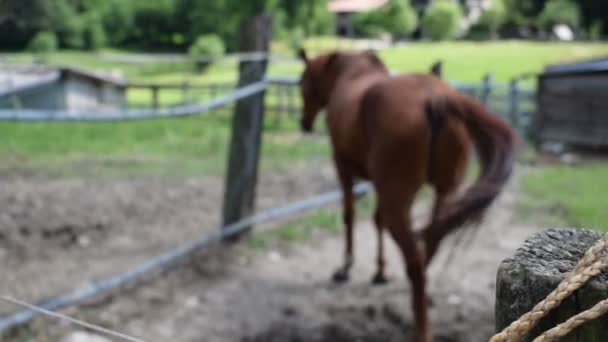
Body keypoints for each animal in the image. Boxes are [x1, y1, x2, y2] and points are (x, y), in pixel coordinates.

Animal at [296, 48, 516, 342]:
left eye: (303, 82)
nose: (304, 123)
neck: (352, 74)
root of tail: (437, 99)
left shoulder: (343, 167)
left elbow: (349, 215)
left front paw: (346, 268)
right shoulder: (379, 185)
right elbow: (375, 220)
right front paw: (379, 271)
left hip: (398, 202)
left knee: (415, 262)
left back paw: (420, 327)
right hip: (443, 194)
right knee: (430, 244)